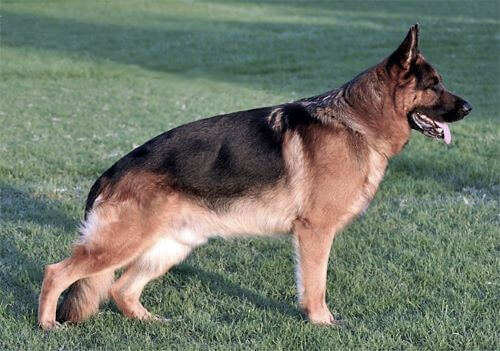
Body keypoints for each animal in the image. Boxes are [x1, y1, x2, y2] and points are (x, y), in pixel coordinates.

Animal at [38, 24, 468, 330]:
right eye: (434, 85)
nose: (469, 107)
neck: (358, 122)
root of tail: (108, 175)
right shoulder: (314, 232)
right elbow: (316, 283)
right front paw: (322, 322)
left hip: (170, 246)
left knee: (120, 289)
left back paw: (151, 322)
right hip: (121, 245)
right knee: (56, 272)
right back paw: (47, 325)